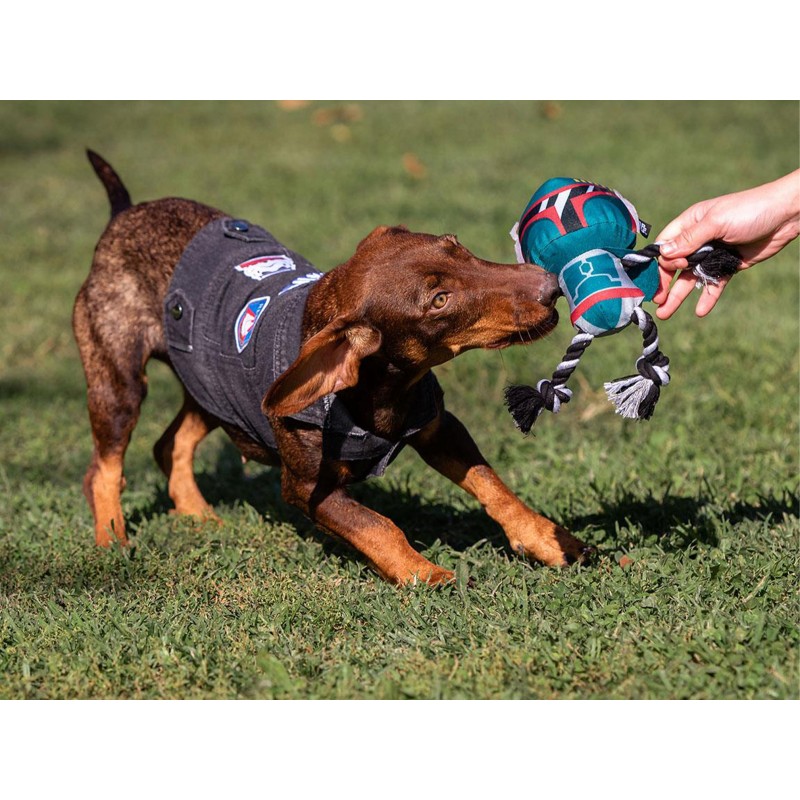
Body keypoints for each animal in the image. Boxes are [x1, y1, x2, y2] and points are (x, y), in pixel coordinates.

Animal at [73, 152, 588, 588]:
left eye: (457, 246)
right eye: (440, 300)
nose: (550, 286)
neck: (382, 392)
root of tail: (122, 214)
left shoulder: (438, 426)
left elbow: (494, 486)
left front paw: (550, 540)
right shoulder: (306, 488)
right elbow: (378, 525)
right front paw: (424, 574)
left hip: (210, 385)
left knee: (170, 444)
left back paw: (198, 514)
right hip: (119, 379)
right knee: (104, 467)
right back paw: (111, 540)